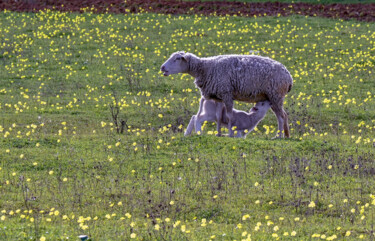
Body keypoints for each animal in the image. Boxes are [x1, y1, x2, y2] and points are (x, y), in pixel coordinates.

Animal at [161, 50, 294, 137]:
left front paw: (230, 134)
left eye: (177, 58)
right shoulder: (219, 96)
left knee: (281, 117)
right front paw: (219, 134)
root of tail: (288, 75)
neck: (205, 68)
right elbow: (219, 116)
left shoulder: (227, 94)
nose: (162, 67)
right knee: (284, 115)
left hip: (276, 96)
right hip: (273, 98)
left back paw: (278, 136)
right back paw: (286, 135)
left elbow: (230, 116)